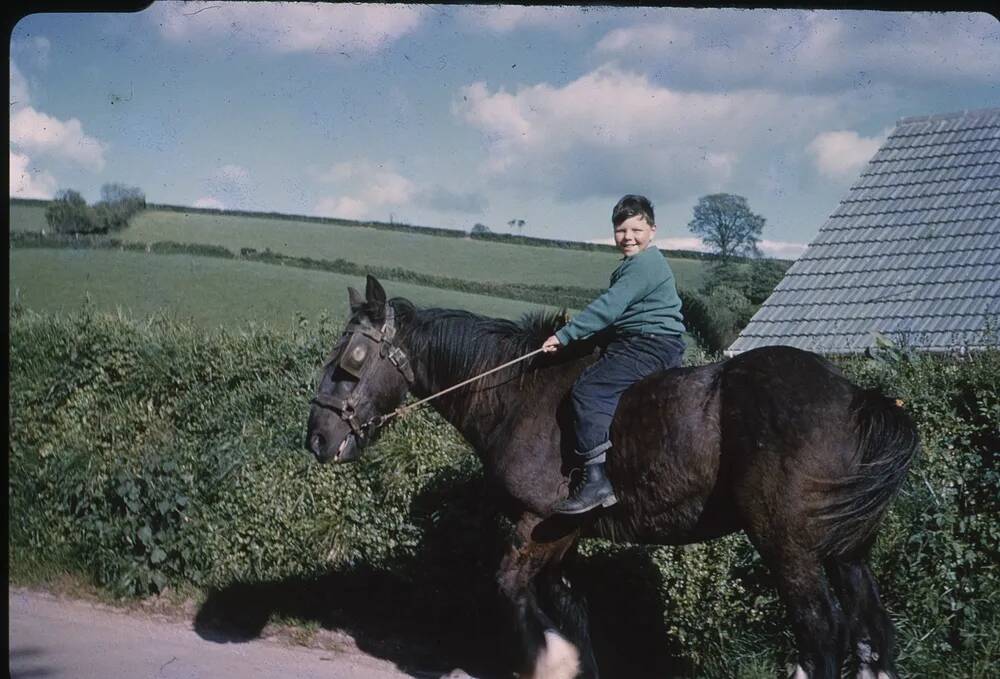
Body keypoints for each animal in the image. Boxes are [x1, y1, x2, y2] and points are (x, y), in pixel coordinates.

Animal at [304, 276, 920, 679]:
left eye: (350, 362)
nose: (317, 439)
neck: (516, 391)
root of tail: (856, 397)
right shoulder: (562, 535)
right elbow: (570, 608)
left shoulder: (535, 523)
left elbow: (512, 589)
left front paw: (549, 663)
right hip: (847, 552)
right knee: (872, 631)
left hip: (788, 546)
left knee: (822, 632)